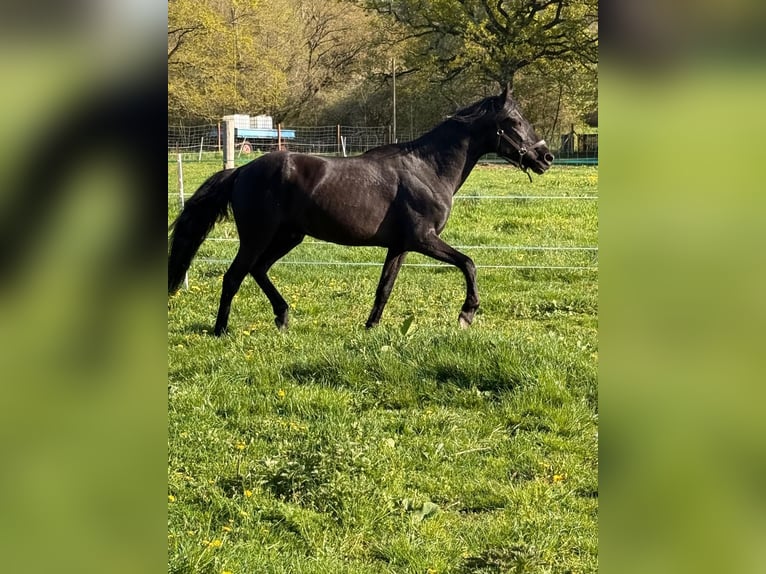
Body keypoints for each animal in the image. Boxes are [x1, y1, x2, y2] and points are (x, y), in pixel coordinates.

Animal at [168, 85, 554, 335]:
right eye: (515, 122)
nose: (546, 157)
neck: (428, 168)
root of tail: (242, 172)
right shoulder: (423, 239)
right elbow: (469, 263)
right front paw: (466, 314)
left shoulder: (399, 246)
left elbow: (385, 287)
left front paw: (370, 327)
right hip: (257, 236)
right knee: (234, 275)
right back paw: (221, 330)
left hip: (288, 236)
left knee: (258, 270)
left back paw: (282, 317)